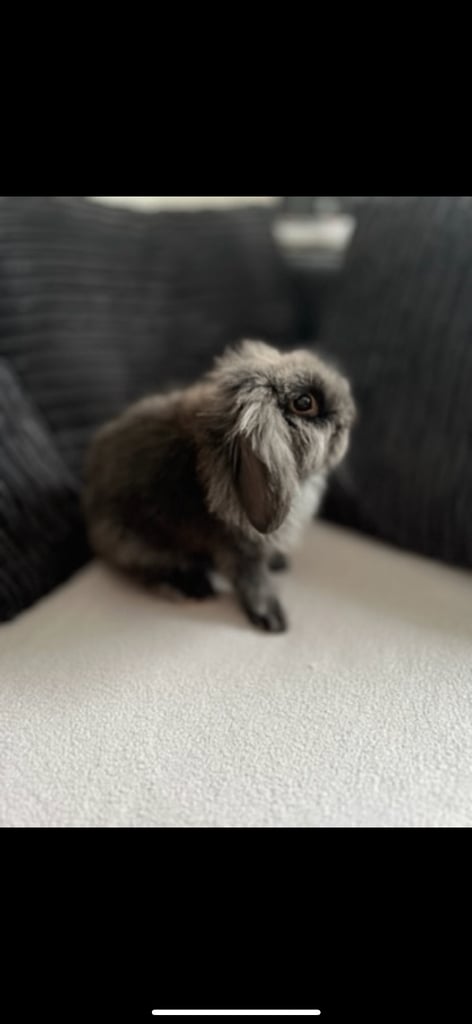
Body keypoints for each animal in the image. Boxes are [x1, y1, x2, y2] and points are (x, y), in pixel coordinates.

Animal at [82, 340, 356, 633]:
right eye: (304, 403)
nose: (349, 413)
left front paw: (278, 562)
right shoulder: (240, 550)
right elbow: (254, 582)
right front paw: (273, 620)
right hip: (131, 542)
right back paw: (192, 587)